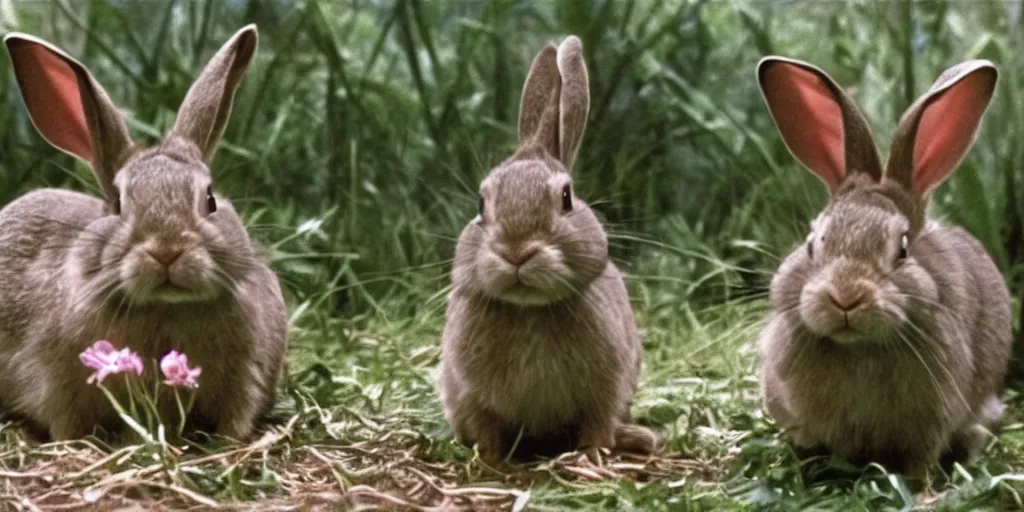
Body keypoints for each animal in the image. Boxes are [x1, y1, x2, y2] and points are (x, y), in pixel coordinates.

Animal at [1, 24, 288, 440]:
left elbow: (236, 418)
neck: (165, 307)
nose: (167, 250)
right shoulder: (57, 387)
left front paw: (228, 443)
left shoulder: (246, 376)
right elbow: (66, 424)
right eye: (118, 203)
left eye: (210, 199)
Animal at [436, 34, 659, 462]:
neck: (530, 311)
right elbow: (487, 428)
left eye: (566, 198)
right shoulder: (471, 395)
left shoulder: (606, 389)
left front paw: (592, 455)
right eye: (480, 204)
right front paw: (489, 460)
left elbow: (597, 423)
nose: (517, 252)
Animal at [757, 56, 1011, 475]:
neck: (859, 348)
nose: (845, 297)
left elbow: (919, 459)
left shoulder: (931, 420)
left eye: (903, 250)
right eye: (812, 243)